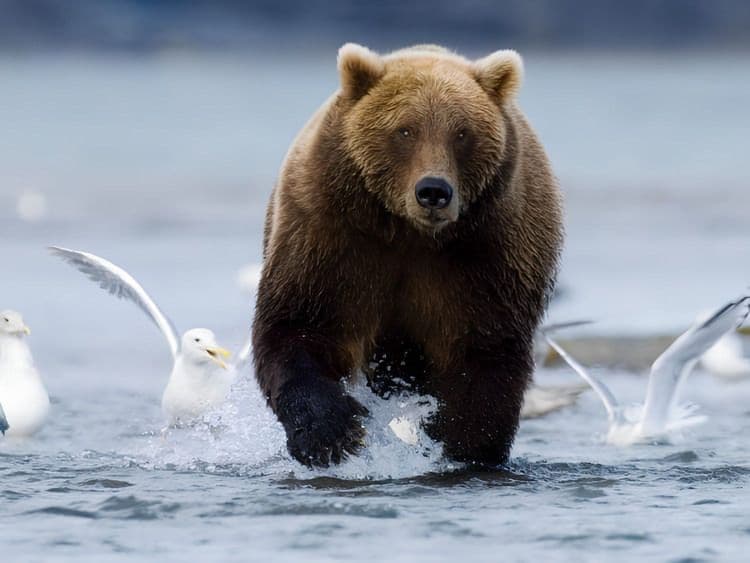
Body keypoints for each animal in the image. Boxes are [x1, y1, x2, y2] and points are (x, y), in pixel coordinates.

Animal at [253, 43, 563, 468]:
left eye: (462, 132)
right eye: (404, 130)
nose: (433, 190)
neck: (408, 232)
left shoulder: (489, 253)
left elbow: (482, 351)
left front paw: (460, 445)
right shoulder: (330, 236)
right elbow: (302, 325)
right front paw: (330, 434)